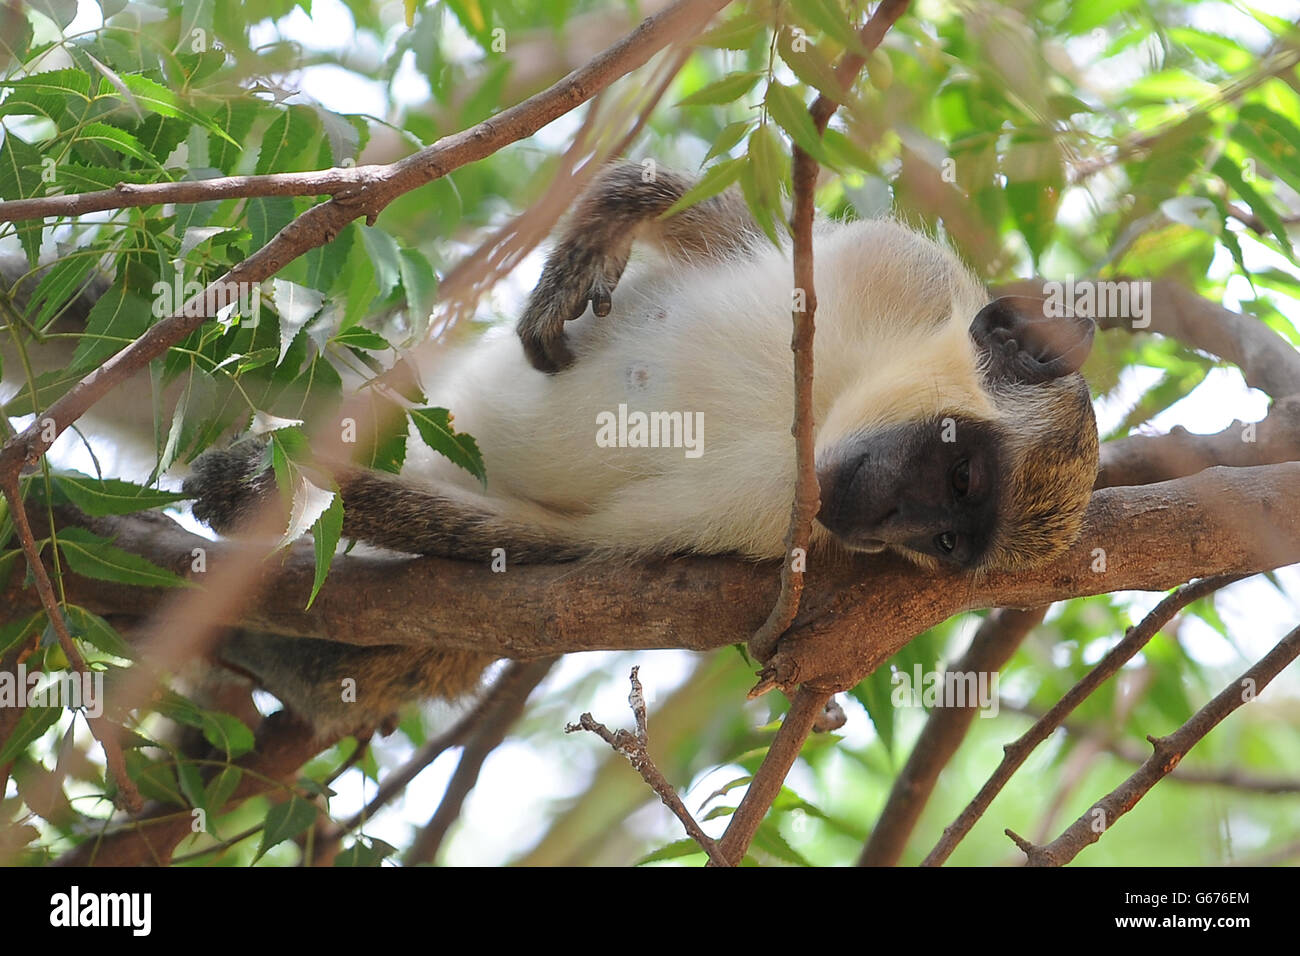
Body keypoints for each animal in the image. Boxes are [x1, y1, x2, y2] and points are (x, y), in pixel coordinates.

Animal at [180, 162, 1097, 733]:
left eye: (943, 542)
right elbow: (724, 230)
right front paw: (607, 226)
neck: (830, 397)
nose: (882, 530)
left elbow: (550, 542)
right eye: (961, 472)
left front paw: (269, 486)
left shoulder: (783, 535)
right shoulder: (897, 270)